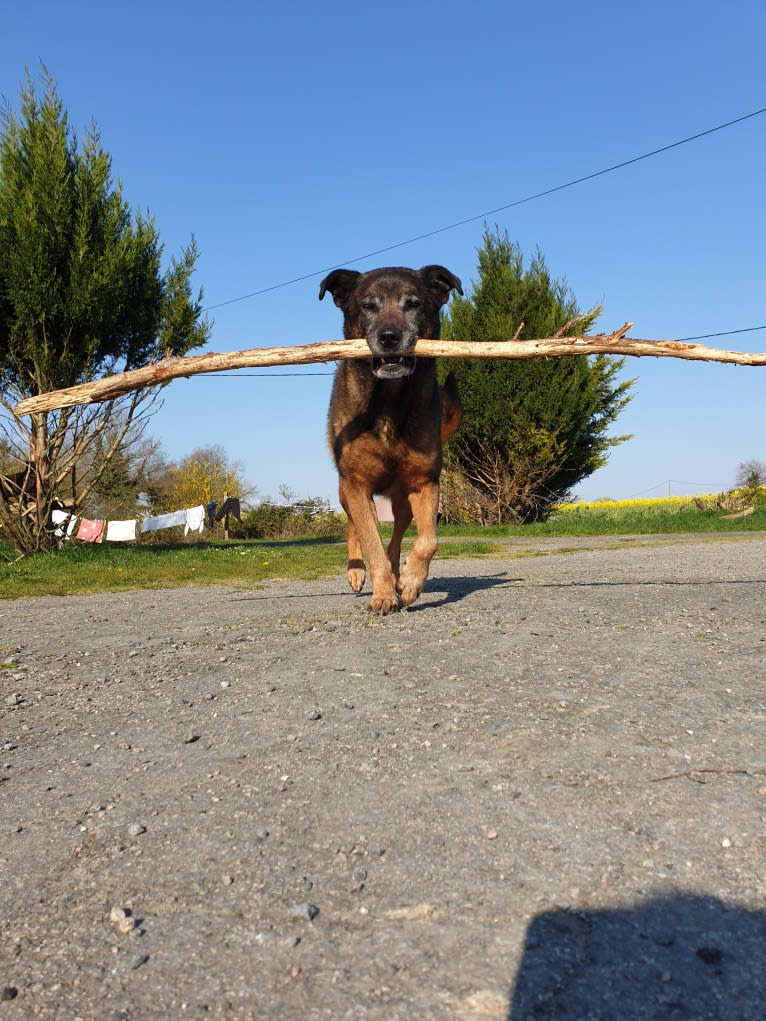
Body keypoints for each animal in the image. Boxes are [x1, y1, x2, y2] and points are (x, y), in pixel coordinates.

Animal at [320, 265, 465, 612]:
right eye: (368, 306)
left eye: (412, 304)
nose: (389, 337)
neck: (388, 400)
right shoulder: (357, 484)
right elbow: (370, 542)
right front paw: (383, 594)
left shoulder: (425, 483)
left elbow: (428, 540)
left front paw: (410, 583)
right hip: (348, 491)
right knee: (355, 527)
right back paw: (357, 572)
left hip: (402, 502)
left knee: (397, 537)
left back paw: (400, 573)